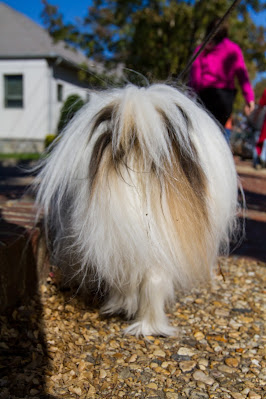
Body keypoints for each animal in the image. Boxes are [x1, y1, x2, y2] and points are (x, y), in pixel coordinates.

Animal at [34, 84, 238, 338]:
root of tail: (136, 146)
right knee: (151, 281)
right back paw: (148, 325)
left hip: (122, 238)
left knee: (134, 279)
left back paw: (133, 316)